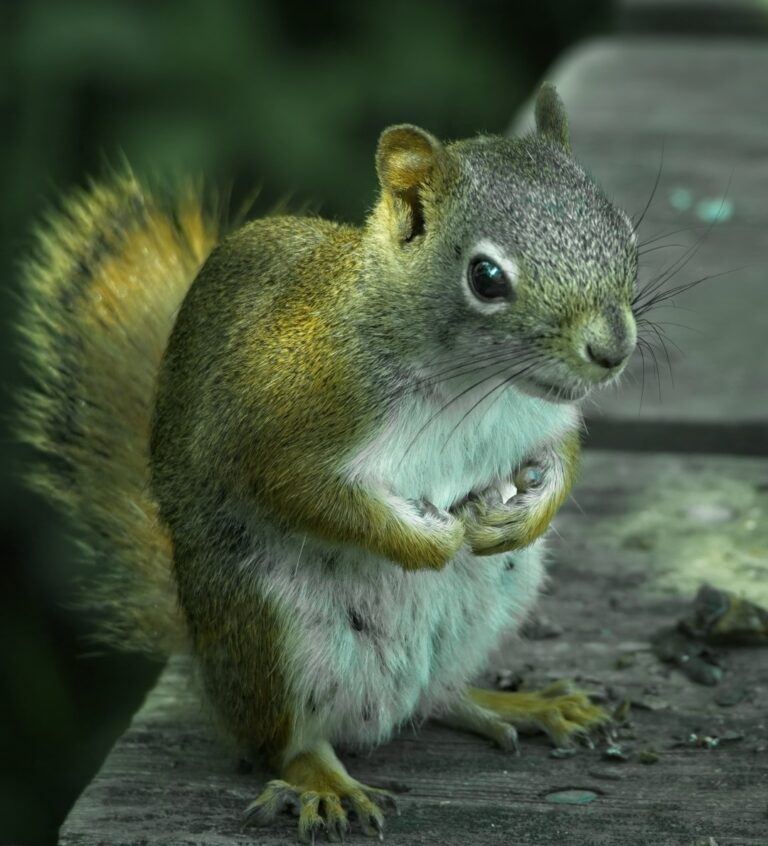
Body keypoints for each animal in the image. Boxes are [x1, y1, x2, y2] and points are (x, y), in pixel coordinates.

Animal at [19, 83, 638, 841]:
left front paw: (524, 514)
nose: (612, 350)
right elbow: (301, 489)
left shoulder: (545, 420)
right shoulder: (293, 416)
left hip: (494, 601)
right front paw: (429, 541)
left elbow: (562, 459)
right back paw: (324, 782)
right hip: (271, 631)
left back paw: (519, 703)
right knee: (286, 742)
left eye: (624, 233)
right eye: (486, 277)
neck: (478, 386)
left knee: (437, 696)